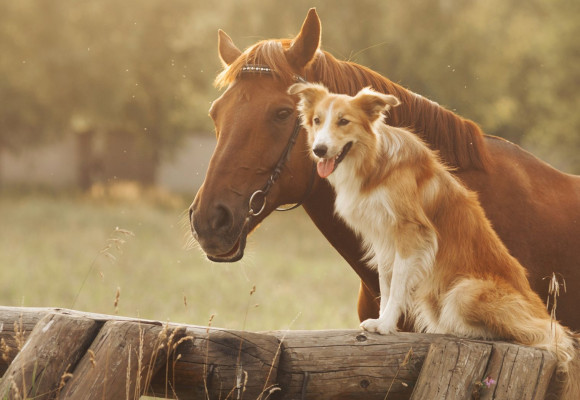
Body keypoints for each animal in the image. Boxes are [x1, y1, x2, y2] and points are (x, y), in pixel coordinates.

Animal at [290, 83, 580, 398]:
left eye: (344, 121)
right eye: (317, 121)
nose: (318, 150)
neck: (375, 163)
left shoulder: (411, 234)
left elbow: (397, 286)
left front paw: (386, 325)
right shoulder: (383, 239)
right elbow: (386, 283)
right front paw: (382, 321)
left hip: (464, 292)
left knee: (548, 335)